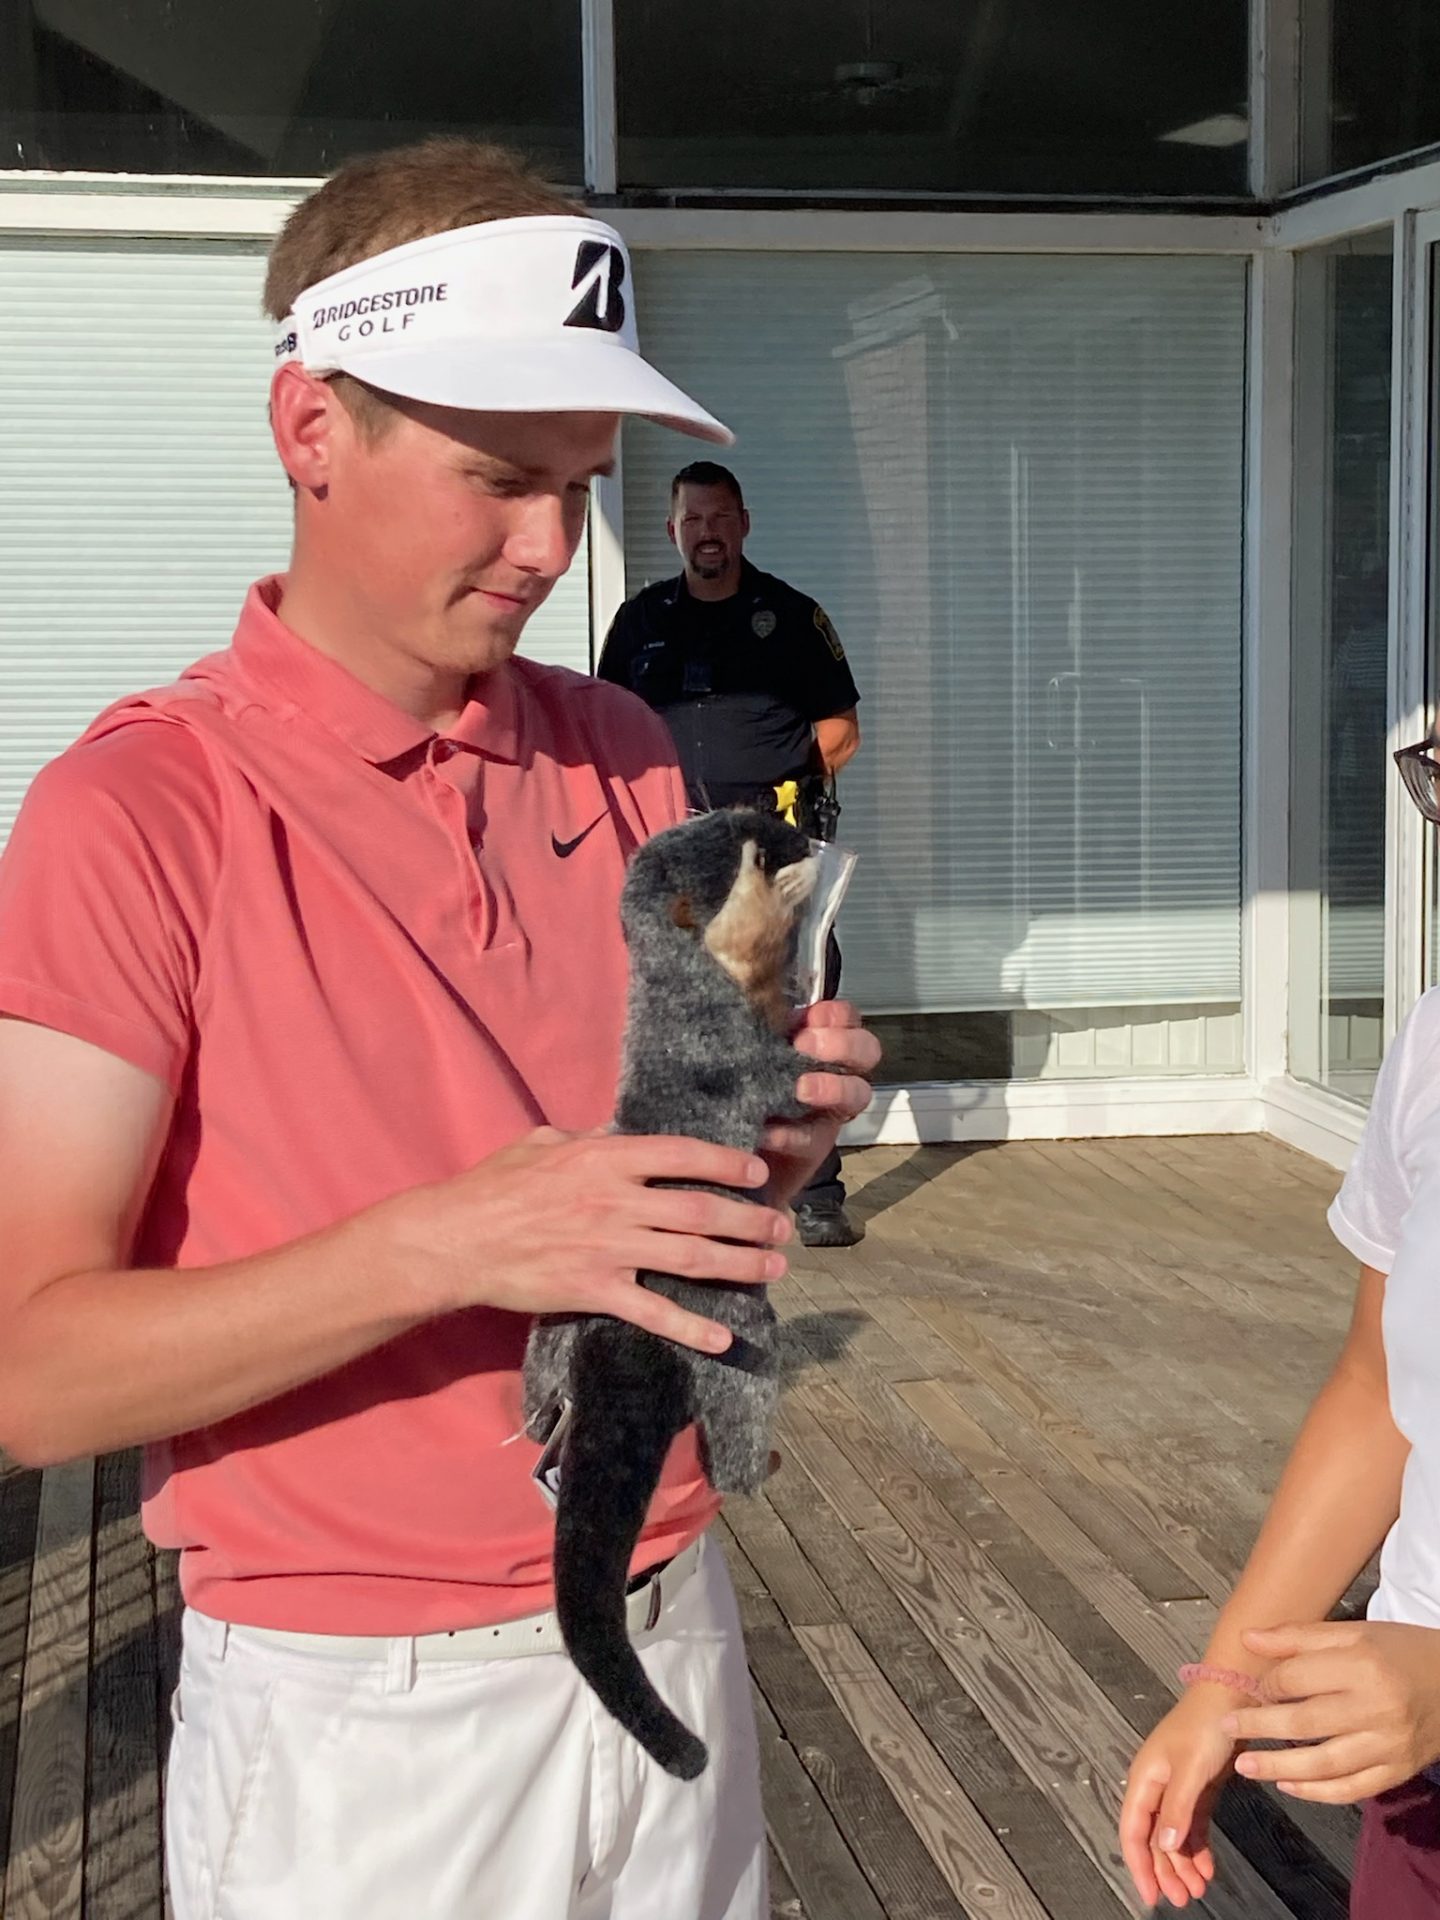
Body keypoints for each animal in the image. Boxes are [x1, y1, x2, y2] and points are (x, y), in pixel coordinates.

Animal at [522, 806, 822, 1779]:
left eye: (760, 820)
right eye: (760, 845)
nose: (811, 834)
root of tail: (624, 1336)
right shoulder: (731, 1050)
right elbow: (788, 1078)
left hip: (558, 1323)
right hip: (739, 1337)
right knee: (736, 1426)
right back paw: (755, 1467)